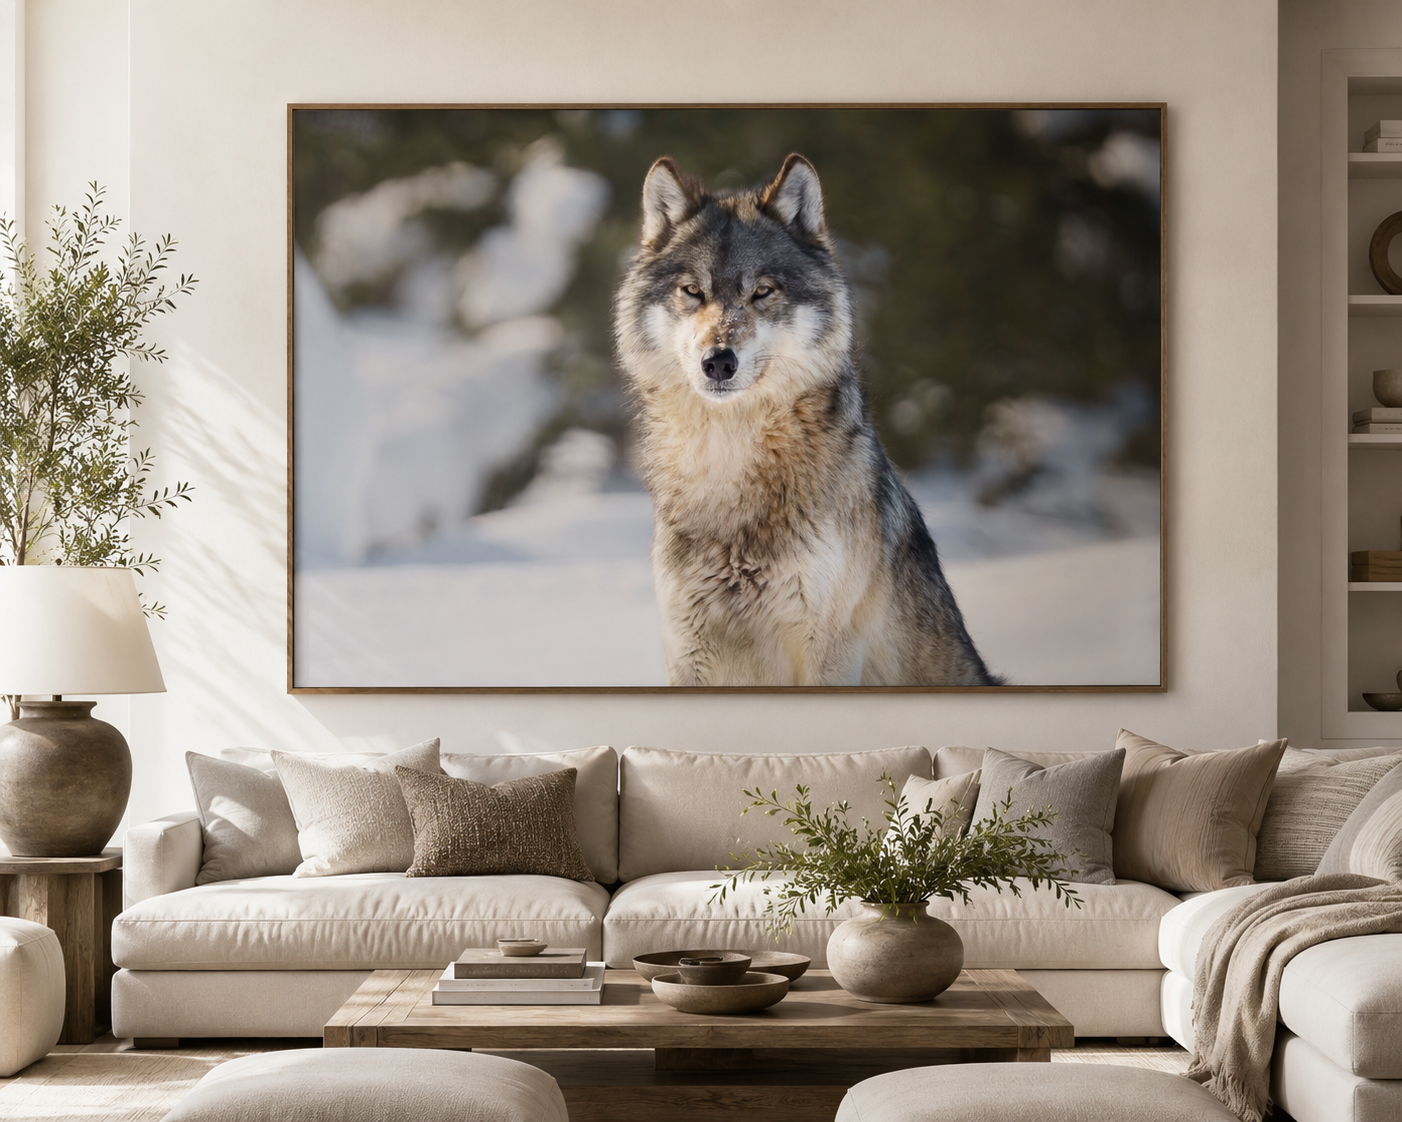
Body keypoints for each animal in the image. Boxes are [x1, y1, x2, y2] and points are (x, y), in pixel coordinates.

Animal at [613, 153, 999, 687]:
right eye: (692, 291)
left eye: (762, 292)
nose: (718, 362)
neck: (730, 457)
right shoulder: (687, 651)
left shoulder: (829, 648)